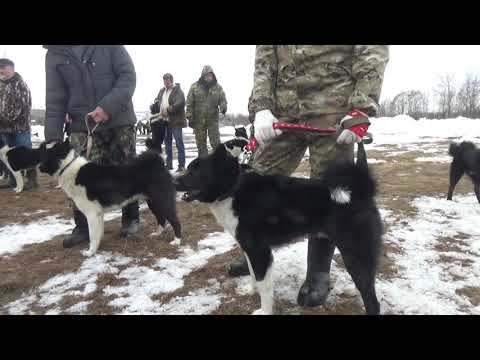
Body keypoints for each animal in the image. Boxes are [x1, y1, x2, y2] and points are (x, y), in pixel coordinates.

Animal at [38, 139, 182, 256]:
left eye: (43, 151)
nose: (37, 164)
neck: (69, 167)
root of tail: (157, 162)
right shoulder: (98, 214)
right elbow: (97, 233)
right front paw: (96, 248)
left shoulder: (92, 214)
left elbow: (92, 235)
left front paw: (90, 252)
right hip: (153, 202)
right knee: (161, 218)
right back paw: (157, 233)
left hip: (162, 200)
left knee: (175, 220)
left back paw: (177, 241)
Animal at [175, 141, 382, 316]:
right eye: (189, 168)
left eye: (196, 172)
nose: (174, 181)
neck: (234, 187)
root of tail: (362, 191)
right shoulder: (250, 250)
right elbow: (253, 275)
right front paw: (250, 290)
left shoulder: (260, 252)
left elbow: (264, 286)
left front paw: (264, 311)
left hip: (357, 258)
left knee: (372, 301)